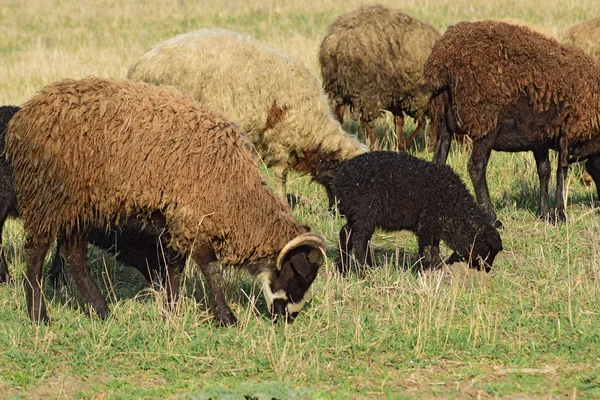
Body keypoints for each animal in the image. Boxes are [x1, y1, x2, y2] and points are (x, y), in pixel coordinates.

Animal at [5, 76, 324, 326]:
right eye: (300, 274)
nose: (287, 318)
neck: (236, 193)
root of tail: (25, 115)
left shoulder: (175, 219)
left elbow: (176, 266)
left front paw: (170, 311)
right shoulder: (191, 216)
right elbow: (209, 268)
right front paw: (226, 317)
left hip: (79, 206)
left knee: (74, 256)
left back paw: (102, 311)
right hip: (48, 197)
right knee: (35, 254)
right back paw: (39, 316)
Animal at [126, 28, 366, 203]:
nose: (339, 213)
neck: (315, 129)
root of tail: (139, 64)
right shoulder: (280, 139)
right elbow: (281, 176)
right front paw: (281, 201)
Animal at [318, 4, 440, 152]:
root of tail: (336, 41)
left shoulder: (396, 96)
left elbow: (400, 120)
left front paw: (398, 146)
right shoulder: (418, 98)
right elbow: (421, 124)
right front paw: (403, 146)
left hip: (338, 88)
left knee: (338, 117)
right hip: (365, 91)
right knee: (365, 121)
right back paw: (376, 146)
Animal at [330, 151, 504, 272]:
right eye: (489, 250)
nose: (486, 271)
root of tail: (340, 179)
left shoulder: (435, 225)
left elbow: (434, 247)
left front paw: (435, 269)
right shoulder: (426, 223)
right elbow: (426, 248)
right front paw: (426, 270)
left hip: (355, 213)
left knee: (345, 233)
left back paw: (343, 269)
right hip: (365, 211)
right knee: (360, 240)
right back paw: (366, 270)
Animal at [424, 20, 600, 227]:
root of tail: (442, 61)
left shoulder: (540, 136)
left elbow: (545, 171)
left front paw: (544, 213)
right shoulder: (569, 132)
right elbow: (561, 171)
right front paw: (560, 215)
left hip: (443, 122)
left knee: (439, 162)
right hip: (485, 123)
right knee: (476, 167)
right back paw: (492, 218)